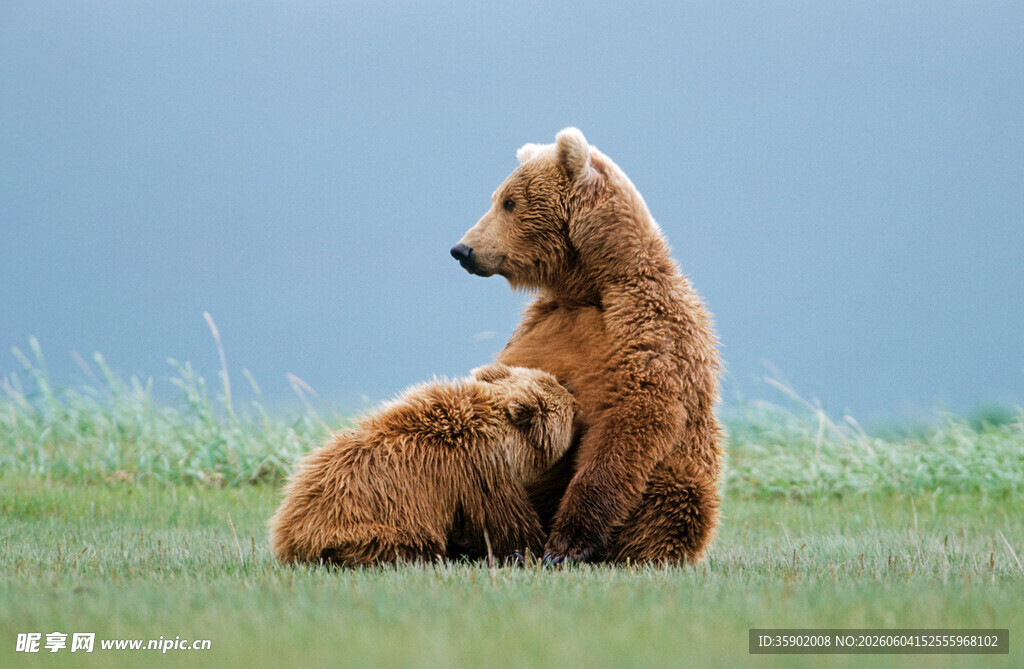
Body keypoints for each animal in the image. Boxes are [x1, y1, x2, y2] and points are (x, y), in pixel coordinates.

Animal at [268, 363, 577, 566]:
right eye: (566, 406)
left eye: (556, 382)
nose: (575, 396)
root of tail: (284, 532)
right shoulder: (477, 472)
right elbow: (505, 519)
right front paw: (528, 550)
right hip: (360, 528)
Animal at [450, 128, 723, 564]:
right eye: (497, 197)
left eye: (509, 201)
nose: (463, 249)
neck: (590, 286)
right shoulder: (543, 324)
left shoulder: (648, 330)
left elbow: (632, 420)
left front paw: (565, 544)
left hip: (681, 479)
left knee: (674, 500)